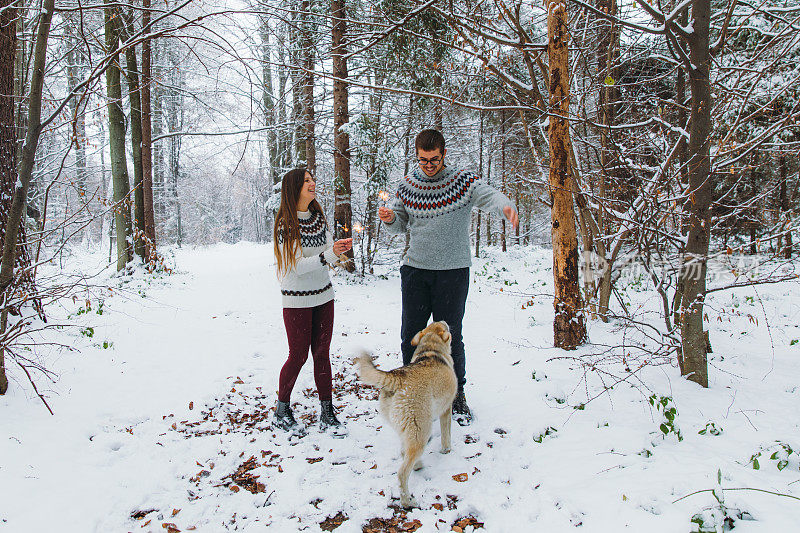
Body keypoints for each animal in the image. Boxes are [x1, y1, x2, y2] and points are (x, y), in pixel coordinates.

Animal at [356, 320, 456, 508]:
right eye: (442, 326)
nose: (445, 321)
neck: (431, 349)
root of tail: (397, 377)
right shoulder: (447, 409)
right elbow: (446, 435)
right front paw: (447, 450)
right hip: (420, 432)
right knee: (402, 472)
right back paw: (407, 501)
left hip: (407, 429)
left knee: (404, 453)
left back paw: (418, 465)